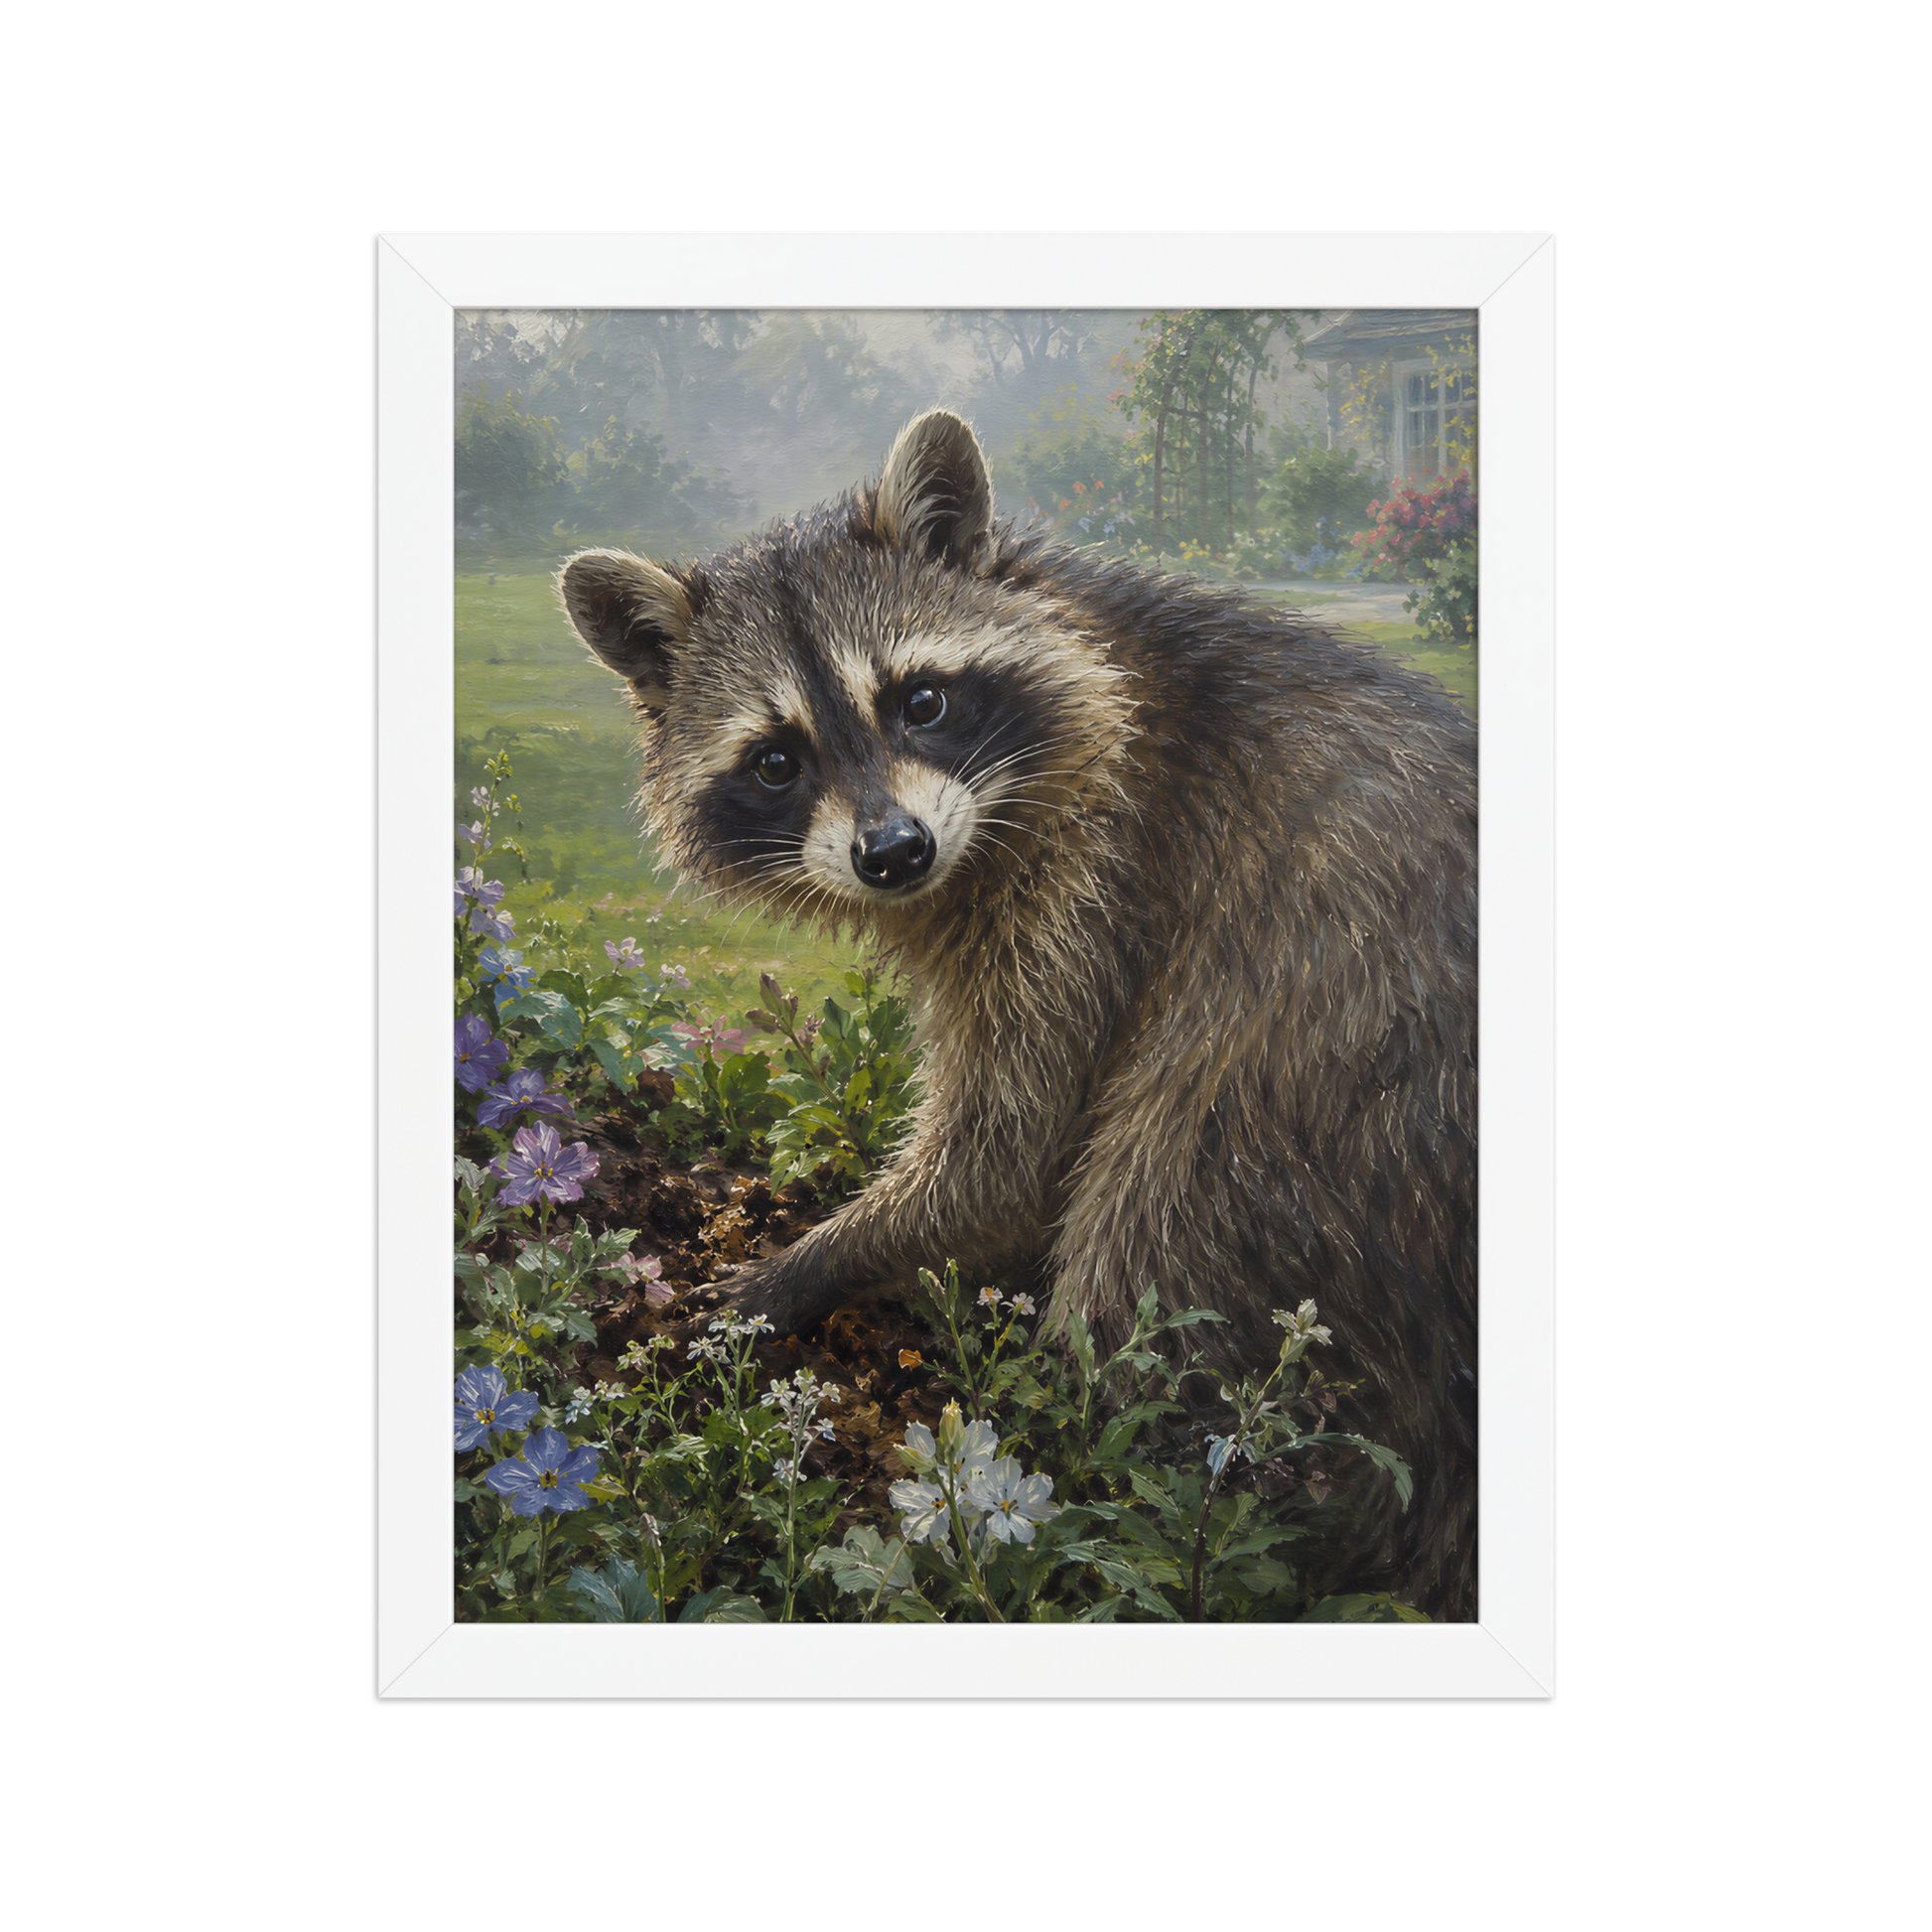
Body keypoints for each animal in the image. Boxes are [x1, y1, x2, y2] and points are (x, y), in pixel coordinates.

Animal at [558, 409, 1477, 1619]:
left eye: (920, 700)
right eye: (775, 759)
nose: (893, 854)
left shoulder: (1099, 877)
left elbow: (1008, 1151)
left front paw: (817, 1259)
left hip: (1314, 1107)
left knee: (1156, 1232)